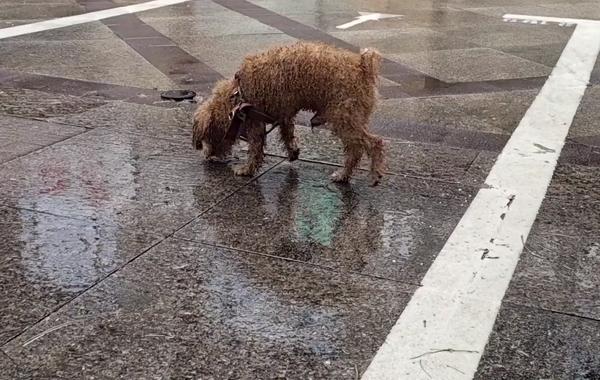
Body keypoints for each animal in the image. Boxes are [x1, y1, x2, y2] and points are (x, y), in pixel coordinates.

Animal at [195, 41, 386, 186]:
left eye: (206, 138)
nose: (207, 156)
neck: (238, 94)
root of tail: (363, 66)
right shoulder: (284, 116)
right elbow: (287, 135)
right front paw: (293, 152)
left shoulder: (255, 122)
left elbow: (255, 149)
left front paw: (247, 169)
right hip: (351, 118)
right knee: (356, 149)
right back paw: (345, 175)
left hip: (344, 118)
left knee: (370, 144)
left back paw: (368, 173)